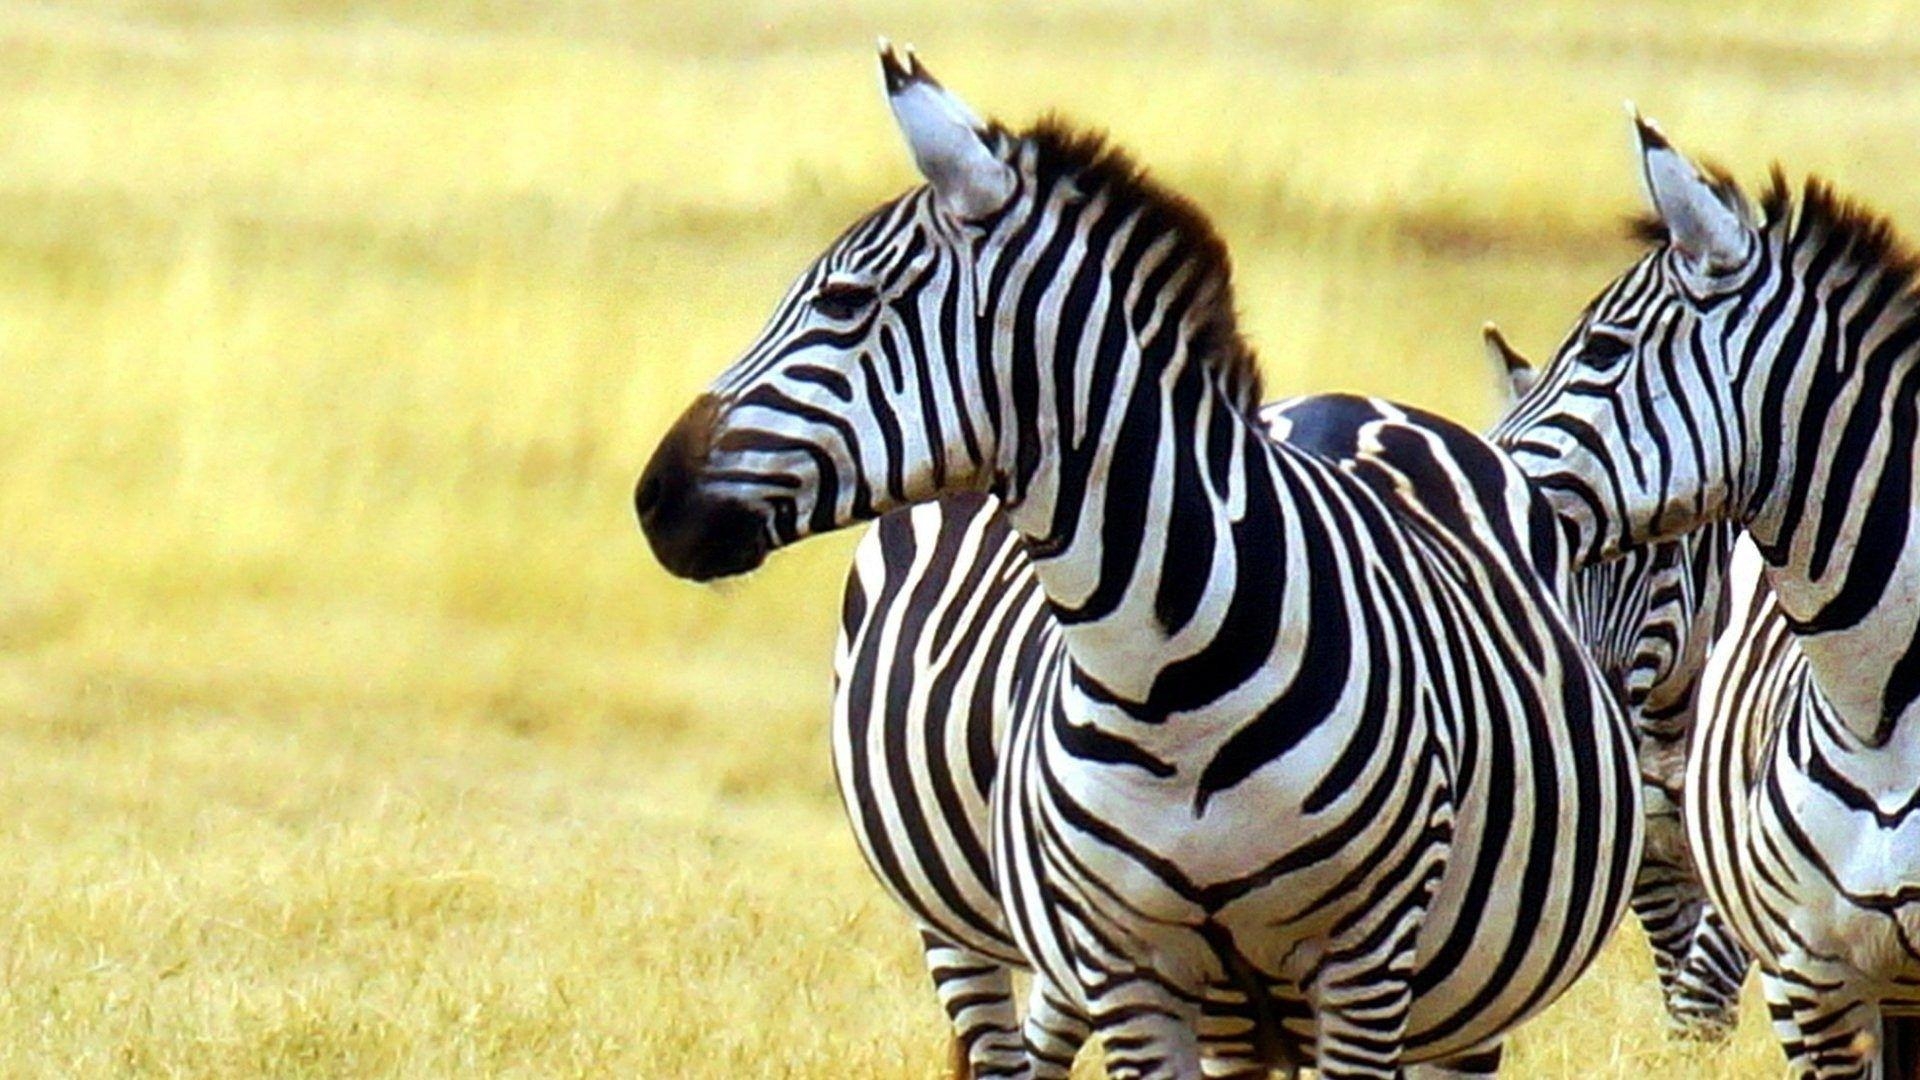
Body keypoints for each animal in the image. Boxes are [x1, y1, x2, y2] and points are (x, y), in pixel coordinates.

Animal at [641, 46, 1635, 1068]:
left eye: (843, 302)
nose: (653, 498)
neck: (1166, 677)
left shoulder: (1363, 965)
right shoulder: (1127, 964)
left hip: (1455, 1001)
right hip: (965, 927)